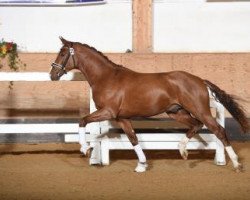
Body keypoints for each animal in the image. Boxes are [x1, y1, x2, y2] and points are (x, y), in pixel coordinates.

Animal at [49, 37, 248, 172]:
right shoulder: (122, 118)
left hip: (199, 110)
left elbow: (82, 121)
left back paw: (236, 163)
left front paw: (85, 148)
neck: (106, 77)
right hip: (177, 112)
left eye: (63, 53)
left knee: (218, 130)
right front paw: (142, 164)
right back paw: (182, 150)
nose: (52, 75)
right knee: (196, 126)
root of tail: (200, 80)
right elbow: (133, 139)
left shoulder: (108, 112)